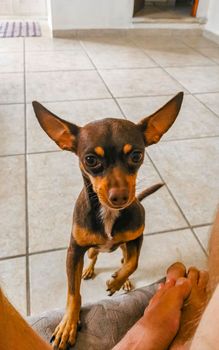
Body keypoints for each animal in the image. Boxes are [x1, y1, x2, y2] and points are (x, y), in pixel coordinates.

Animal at [32, 91, 183, 348]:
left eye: (137, 155)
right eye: (91, 160)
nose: (121, 196)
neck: (108, 214)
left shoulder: (137, 237)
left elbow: (133, 263)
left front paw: (116, 282)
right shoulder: (74, 251)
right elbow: (73, 292)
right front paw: (68, 324)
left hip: (125, 244)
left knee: (124, 256)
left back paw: (124, 280)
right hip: (90, 250)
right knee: (93, 257)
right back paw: (88, 270)